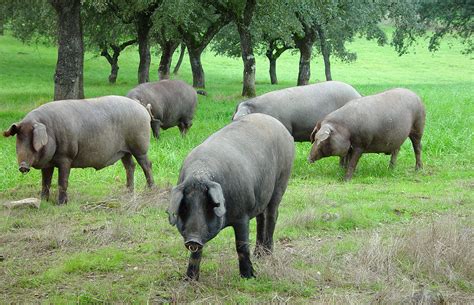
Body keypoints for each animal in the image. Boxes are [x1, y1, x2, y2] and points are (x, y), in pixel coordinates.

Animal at [4, 95, 156, 204]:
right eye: (18, 141)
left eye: (33, 141)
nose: (23, 166)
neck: (51, 132)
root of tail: (142, 108)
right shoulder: (48, 164)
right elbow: (45, 182)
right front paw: (43, 201)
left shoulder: (66, 158)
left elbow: (62, 182)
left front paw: (61, 204)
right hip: (124, 151)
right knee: (130, 166)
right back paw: (129, 191)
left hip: (139, 146)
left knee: (146, 164)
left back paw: (151, 189)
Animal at [167, 113, 292, 280]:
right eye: (185, 207)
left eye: (209, 205)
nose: (193, 240)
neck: (200, 175)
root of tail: (277, 123)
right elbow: (196, 255)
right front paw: (189, 279)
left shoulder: (242, 215)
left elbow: (241, 245)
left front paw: (249, 277)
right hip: (261, 195)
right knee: (261, 218)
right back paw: (258, 255)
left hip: (282, 180)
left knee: (273, 215)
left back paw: (267, 255)